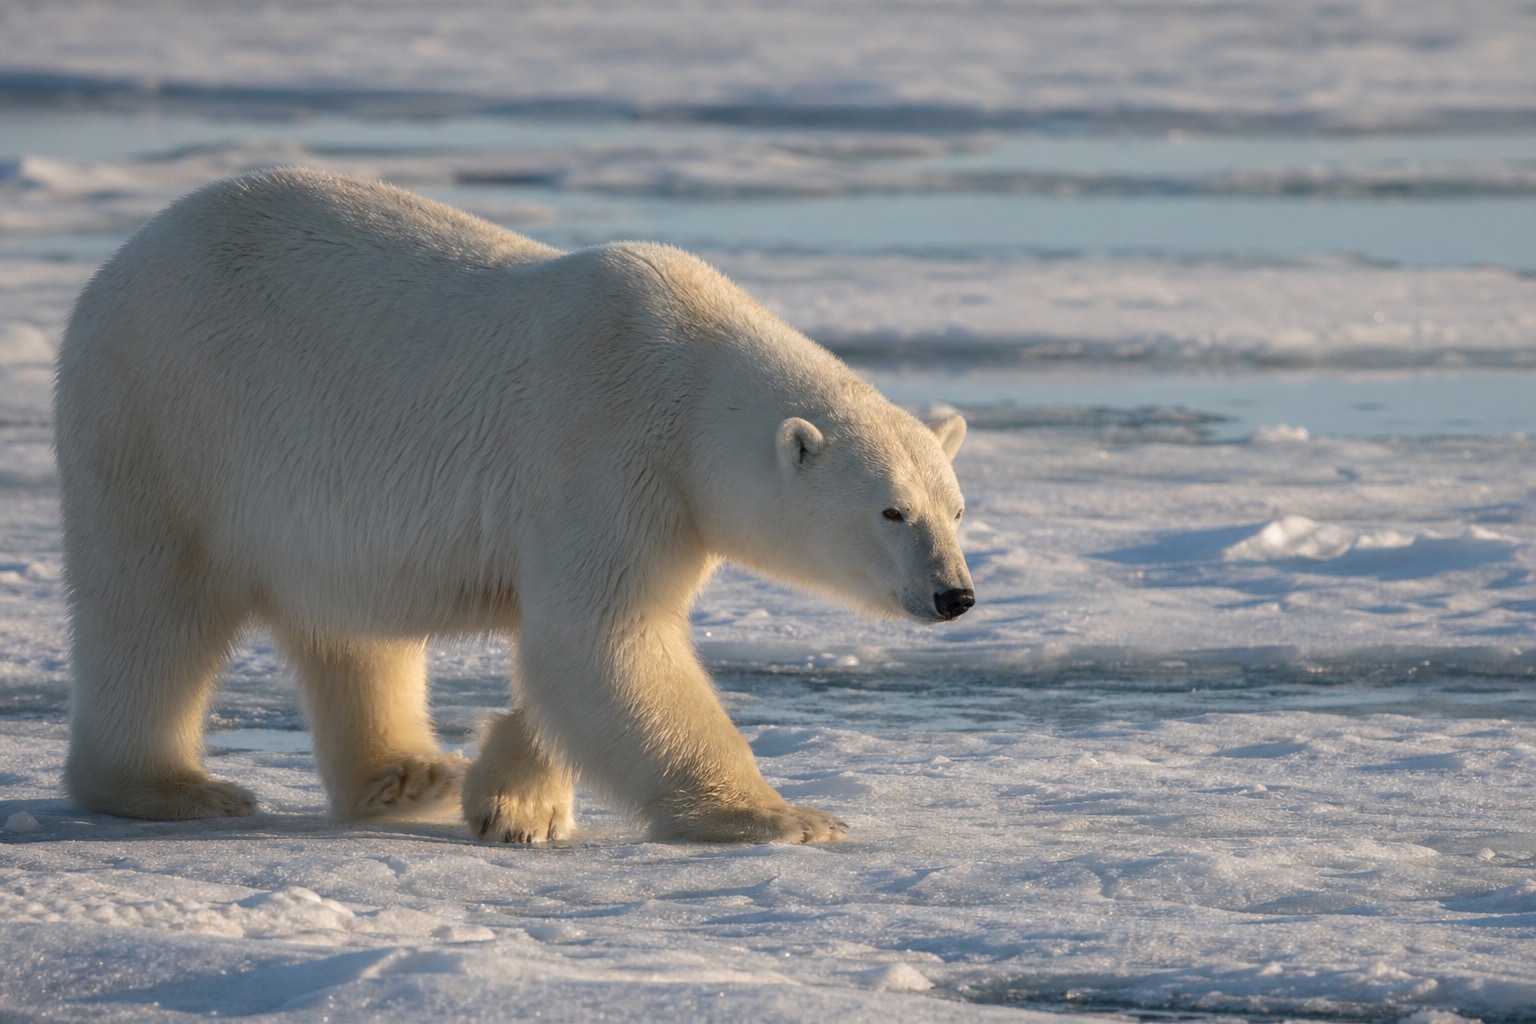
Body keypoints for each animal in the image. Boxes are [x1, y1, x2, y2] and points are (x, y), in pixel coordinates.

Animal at [54, 168, 974, 843]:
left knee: (350, 625)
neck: (690, 381)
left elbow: (579, 650)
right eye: (892, 512)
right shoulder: (603, 448)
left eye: (957, 509)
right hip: (168, 416)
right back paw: (172, 787)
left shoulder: (667, 504)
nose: (954, 595)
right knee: (153, 608)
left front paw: (514, 801)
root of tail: (118, 264)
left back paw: (407, 775)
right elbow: (601, 638)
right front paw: (782, 817)